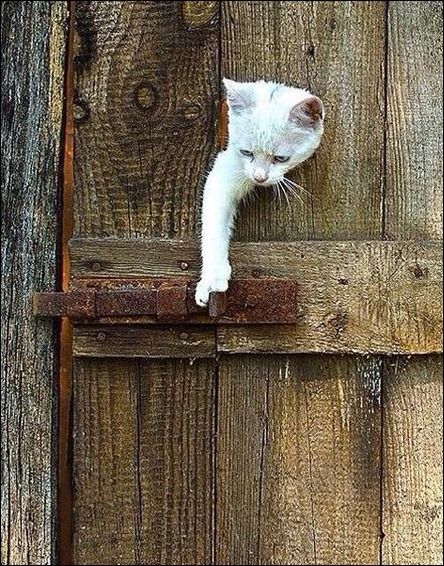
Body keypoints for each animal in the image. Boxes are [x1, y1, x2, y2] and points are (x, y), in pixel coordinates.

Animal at [196, 79, 324, 306]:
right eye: (246, 152)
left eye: (281, 158)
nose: (259, 177)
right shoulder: (224, 172)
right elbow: (212, 228)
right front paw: (211, 278)